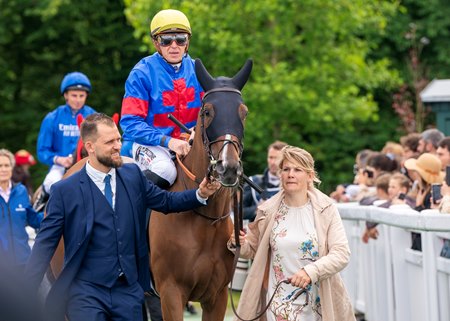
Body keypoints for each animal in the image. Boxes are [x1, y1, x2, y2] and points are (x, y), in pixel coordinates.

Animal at [151, 58, 253, 320]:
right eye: (207, 111)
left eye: (244, 112)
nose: (228, 167)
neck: (205, 220)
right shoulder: (171, 293)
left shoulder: (217, 297)